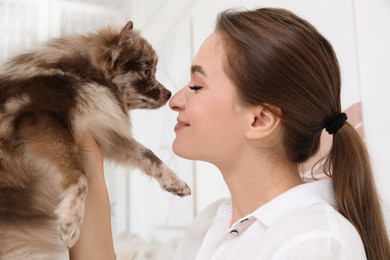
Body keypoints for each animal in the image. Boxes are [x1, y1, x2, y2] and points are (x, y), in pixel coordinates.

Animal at [0, 20, 190, 260]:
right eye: (147, 72)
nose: (169, 93)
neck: (86, 77)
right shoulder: (41, 122)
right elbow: (78, 176)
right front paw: (70, 222)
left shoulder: (104, 134)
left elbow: (148, 155)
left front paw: (174, 181)